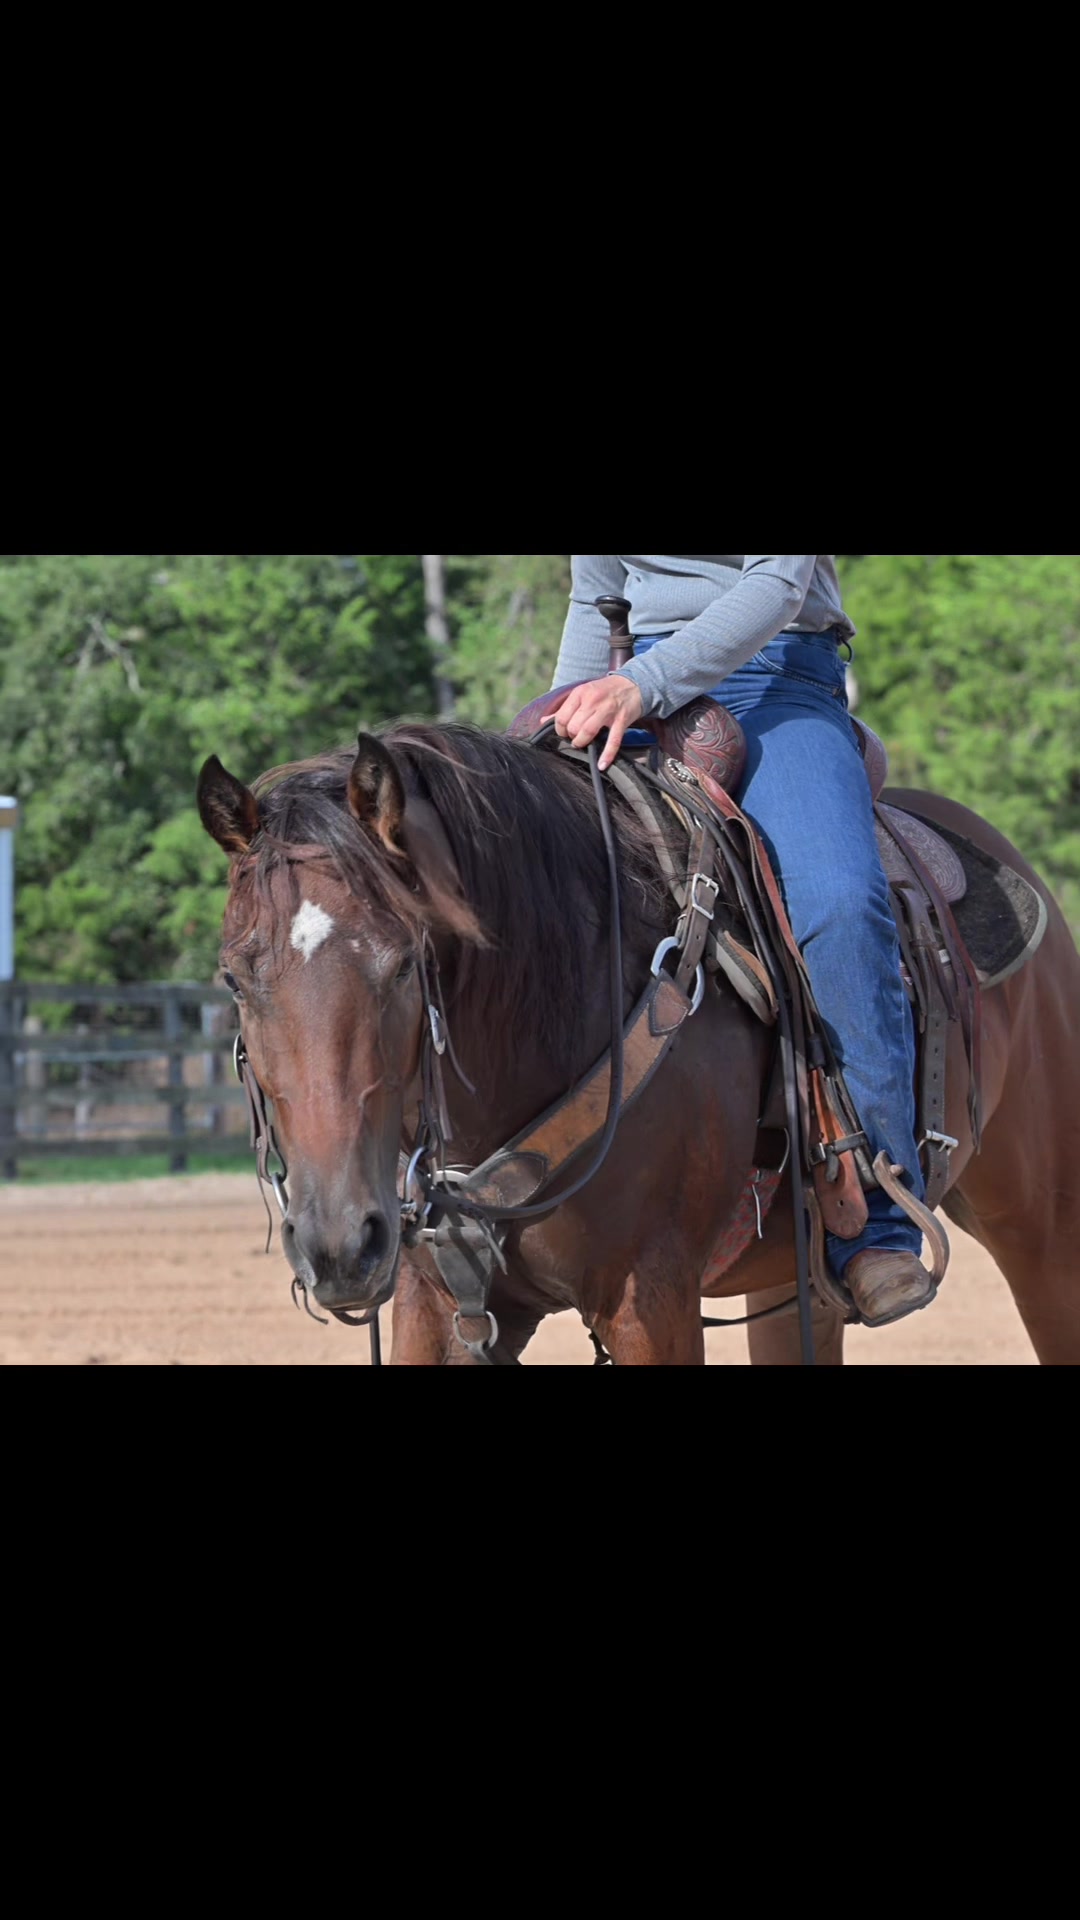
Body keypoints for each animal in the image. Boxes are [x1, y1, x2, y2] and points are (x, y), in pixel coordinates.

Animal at [197, 722, 1080, 1366]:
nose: (340, 1243)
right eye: (235, 979)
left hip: (1042, 1231)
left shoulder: (648, 1299)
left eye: (405, 961)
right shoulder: (436, 1302)